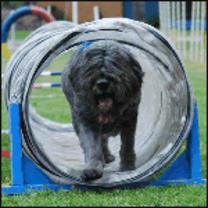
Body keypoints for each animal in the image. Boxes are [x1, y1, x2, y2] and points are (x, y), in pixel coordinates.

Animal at [61, 40, 144, 180]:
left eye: (115, 64)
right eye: (91, 67)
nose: (102, 83)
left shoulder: (130, 117)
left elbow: (127, 144)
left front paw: (128, 166)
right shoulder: (87, 119)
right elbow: (92, 145)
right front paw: (93, 168)